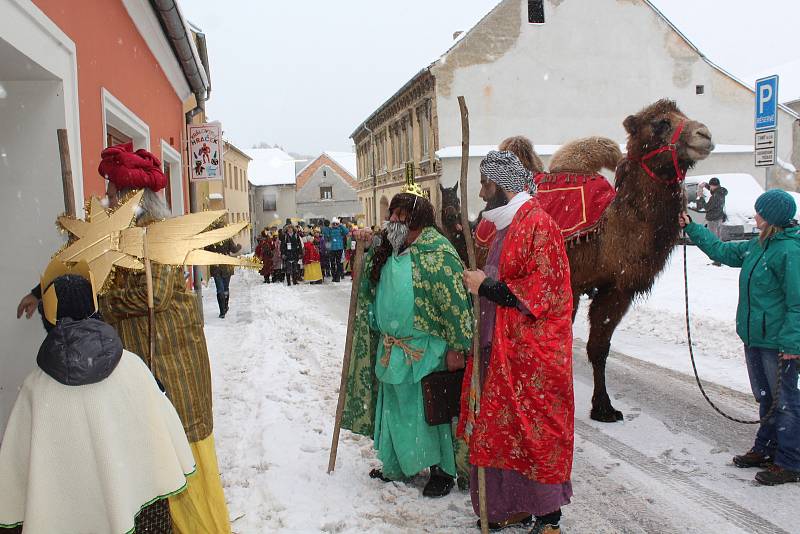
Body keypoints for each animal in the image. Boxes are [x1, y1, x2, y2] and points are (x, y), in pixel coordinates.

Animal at [444, 101, 712, 422]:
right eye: (660, 123)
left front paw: (604, 408)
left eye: (683, 116)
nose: (704, 134)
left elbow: (599, 347)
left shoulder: (616, 290)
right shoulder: (568, 285)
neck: (607, 232)